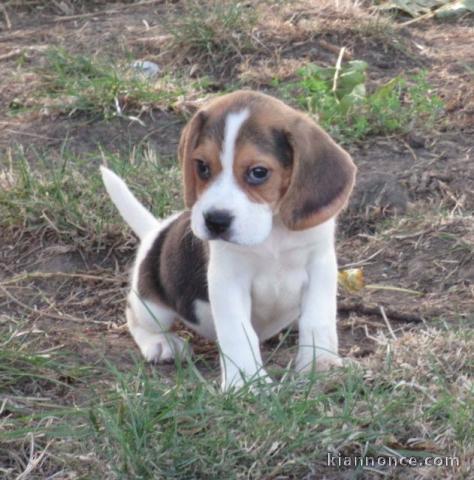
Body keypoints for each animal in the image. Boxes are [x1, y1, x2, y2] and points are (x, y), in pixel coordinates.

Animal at [103, 89, 356, 390]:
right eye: (202, 166)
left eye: (258, 172)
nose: (215, 221)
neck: (272, 233)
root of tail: (155, 232)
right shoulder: (228, 279)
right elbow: (238, 332)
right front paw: (248, 383)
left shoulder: (320, 265)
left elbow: (318, 319)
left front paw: (322, 365)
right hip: (150, 302)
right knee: (137, 318)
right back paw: (161, 343)